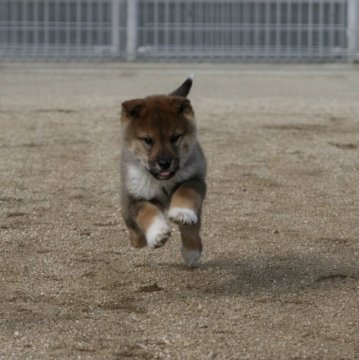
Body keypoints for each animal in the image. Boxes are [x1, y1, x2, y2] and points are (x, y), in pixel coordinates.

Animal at [120, 76, 207, 268]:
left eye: (175, 137)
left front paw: (191, 249)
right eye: (147, 140)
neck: (162, 181)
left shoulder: (194, 179)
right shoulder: (134, 198)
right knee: (134, 232)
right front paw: (158, 233)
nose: (164, 164)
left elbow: (186, 196)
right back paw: (139, 239)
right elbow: (146, 212)